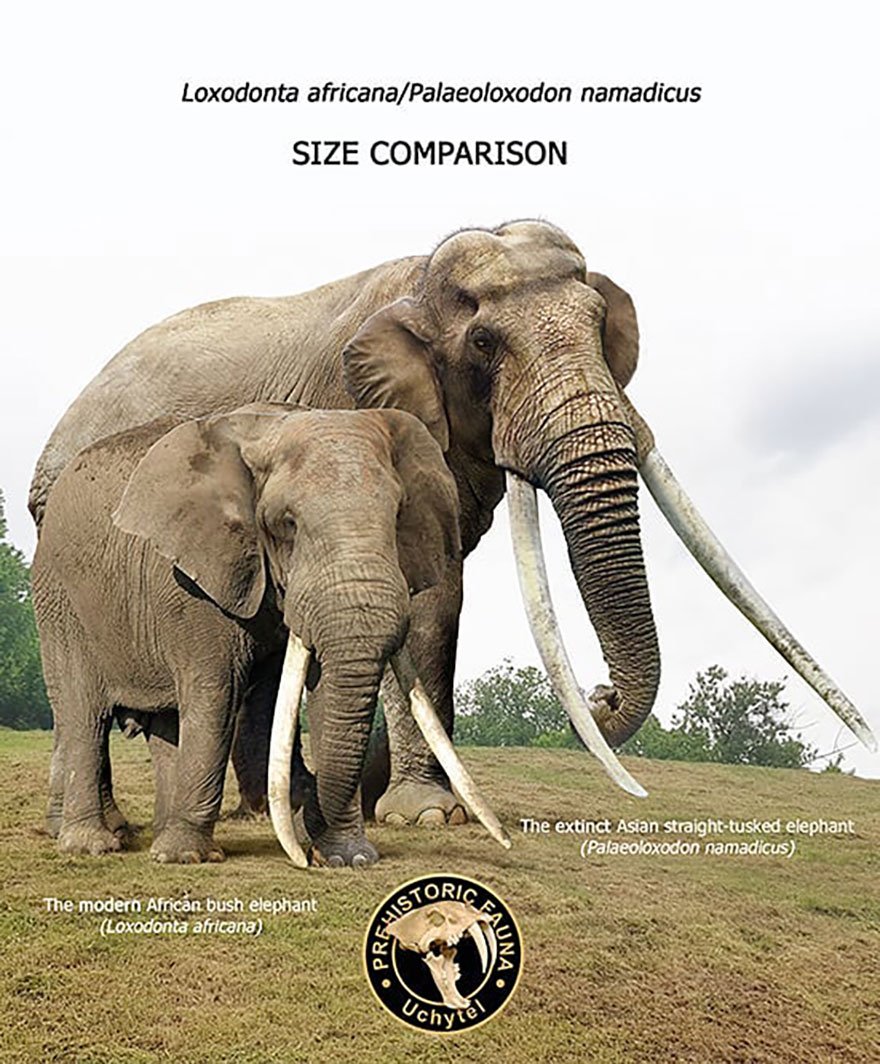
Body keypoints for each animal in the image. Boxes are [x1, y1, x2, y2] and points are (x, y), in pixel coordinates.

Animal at [32, 403, 506, 865]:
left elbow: (322, 691)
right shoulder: (195, 581)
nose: (306, 847)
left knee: (164, 724)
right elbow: (215, 695)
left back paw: (157, 837)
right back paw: (93, 845)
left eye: (396, 518)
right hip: (59, 602)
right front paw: (189, 857)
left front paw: (348, 857)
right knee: (83, 713)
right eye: (287, 524)